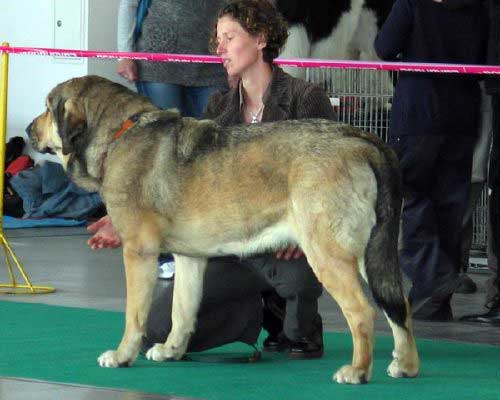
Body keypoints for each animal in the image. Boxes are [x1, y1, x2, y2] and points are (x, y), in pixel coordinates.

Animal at [26, 75, 418, 384]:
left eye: (47, 107)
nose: (29, 130)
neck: (120, 133)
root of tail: (360, 137)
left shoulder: (138, 252)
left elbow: (134, 315)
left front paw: (123, 355)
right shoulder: (189, 259)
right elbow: (181, 311)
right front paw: (171, 350)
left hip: (327, 254)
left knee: (363, 313)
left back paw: (357, 371)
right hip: (372, 254)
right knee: (400, 307)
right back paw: (405, 365)